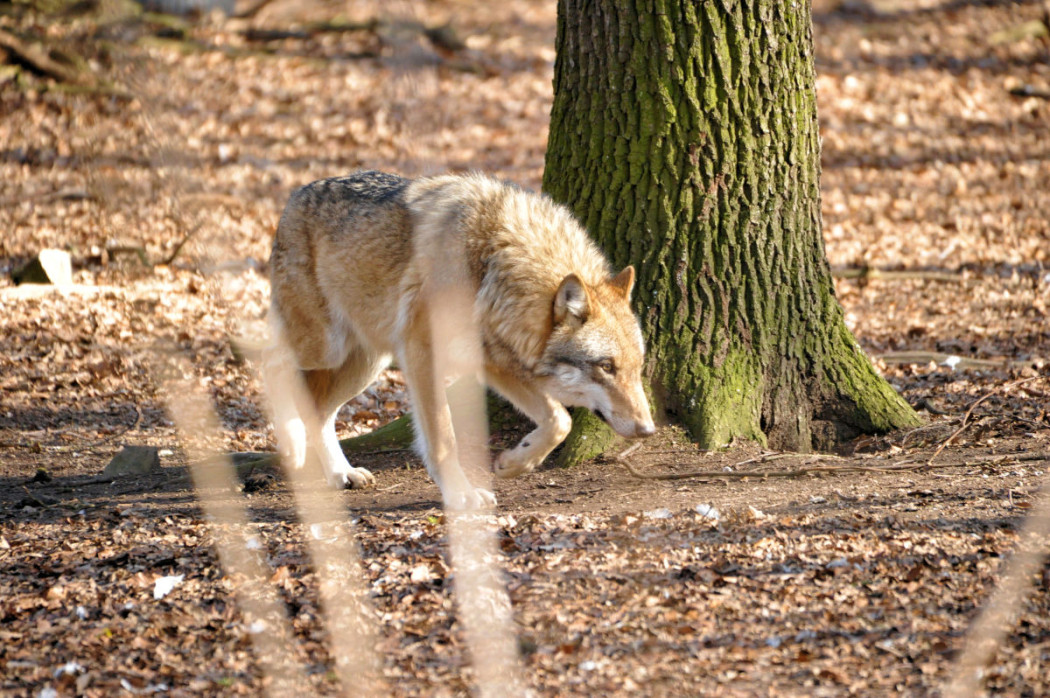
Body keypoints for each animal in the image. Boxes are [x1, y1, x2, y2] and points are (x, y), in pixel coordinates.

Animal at [262, 171, 655, 509]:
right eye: (606, 367)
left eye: (637, 368)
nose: (648, 430)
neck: (491, 261)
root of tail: (295, 195)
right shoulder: (423, 355)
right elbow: (444, 438)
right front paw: (461, 494)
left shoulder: (494, 363)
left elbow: (560, 421)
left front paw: (515, 463)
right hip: (326, 348)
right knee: (271, 361)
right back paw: (292, 444)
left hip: (366, 364)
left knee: (319, 410)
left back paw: (340, 472)